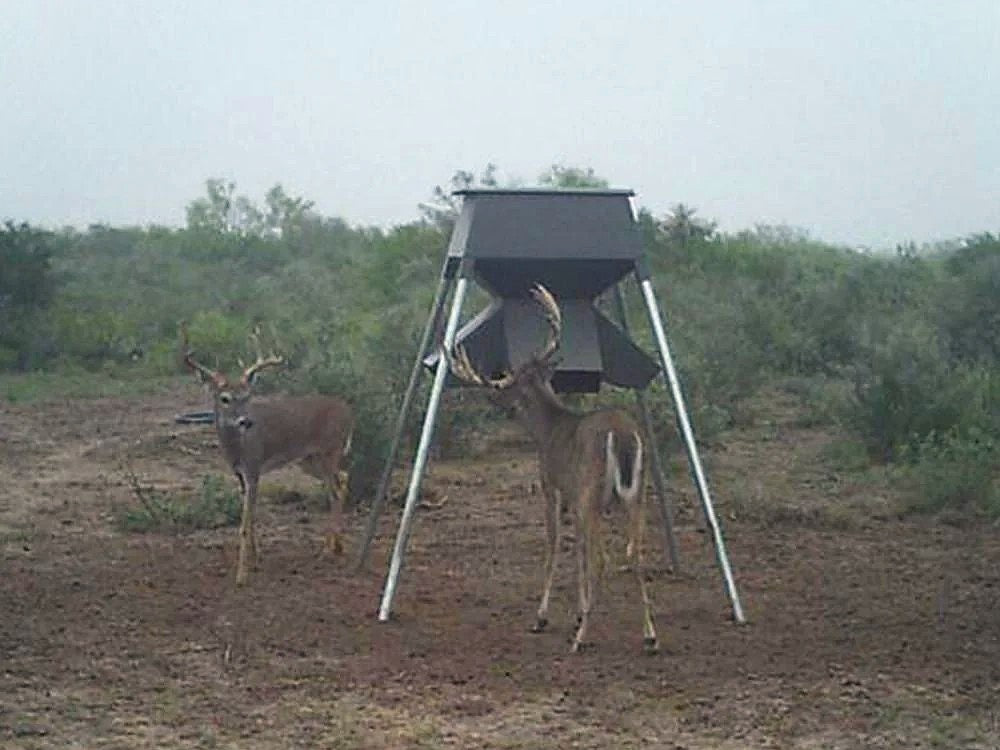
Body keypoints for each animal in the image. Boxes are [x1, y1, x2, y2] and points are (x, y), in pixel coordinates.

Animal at [181, 325, 354, 587]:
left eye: (247, 396)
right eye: (225, 398)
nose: (246, 421)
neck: (237, 448)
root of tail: (349, 412)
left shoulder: (254, 467)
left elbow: (244, 523)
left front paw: (241, 576)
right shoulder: (241, 475)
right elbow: (250, 518)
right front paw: (255, 561)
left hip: (329, 450)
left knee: (335, 490)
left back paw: (327, 550)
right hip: (309, 460)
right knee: (342, 480)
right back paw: (337, 547)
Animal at [448, 285, 659, 654]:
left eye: (509, 385)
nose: (494, 399)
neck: (547, 430)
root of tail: (622, 435)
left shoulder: (552, 485)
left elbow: (554, 543)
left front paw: (542, 617)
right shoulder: (574, 497)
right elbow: (578, 550)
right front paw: (578, 610)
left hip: (593, 489)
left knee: (604, 558)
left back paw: (582, 638)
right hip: (637, 492)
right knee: (635, 552)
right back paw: (649, 634)